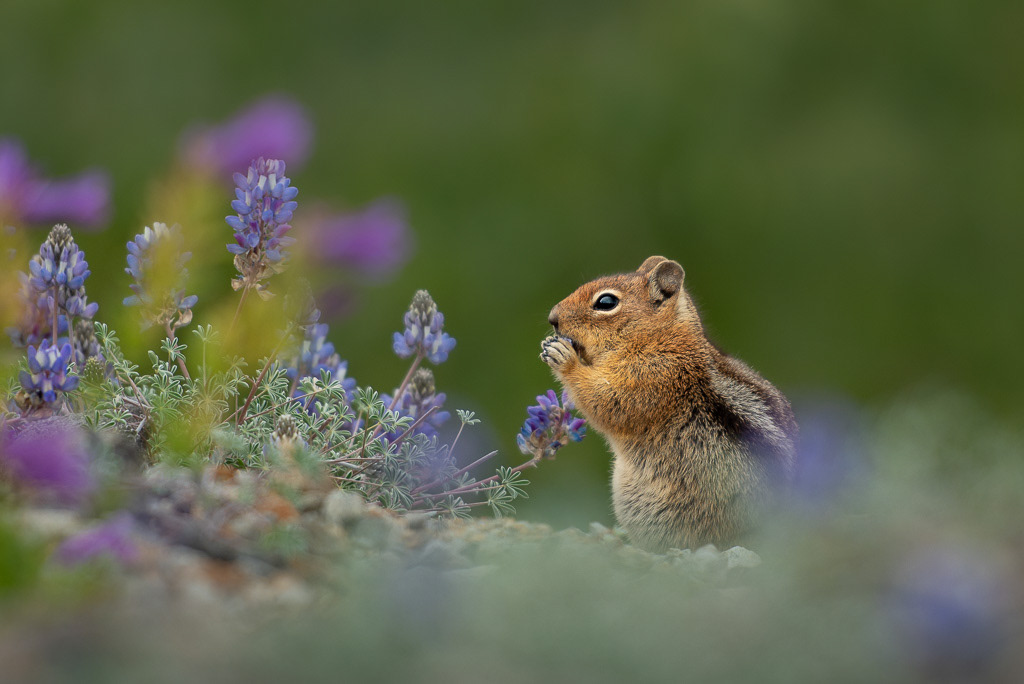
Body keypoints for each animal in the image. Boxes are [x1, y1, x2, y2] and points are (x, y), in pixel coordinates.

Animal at [541, 256, 797, 552]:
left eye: (606, 302)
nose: (552, 318)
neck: (660, 339)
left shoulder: (650, 378)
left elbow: (605, 401)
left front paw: (563, 357)